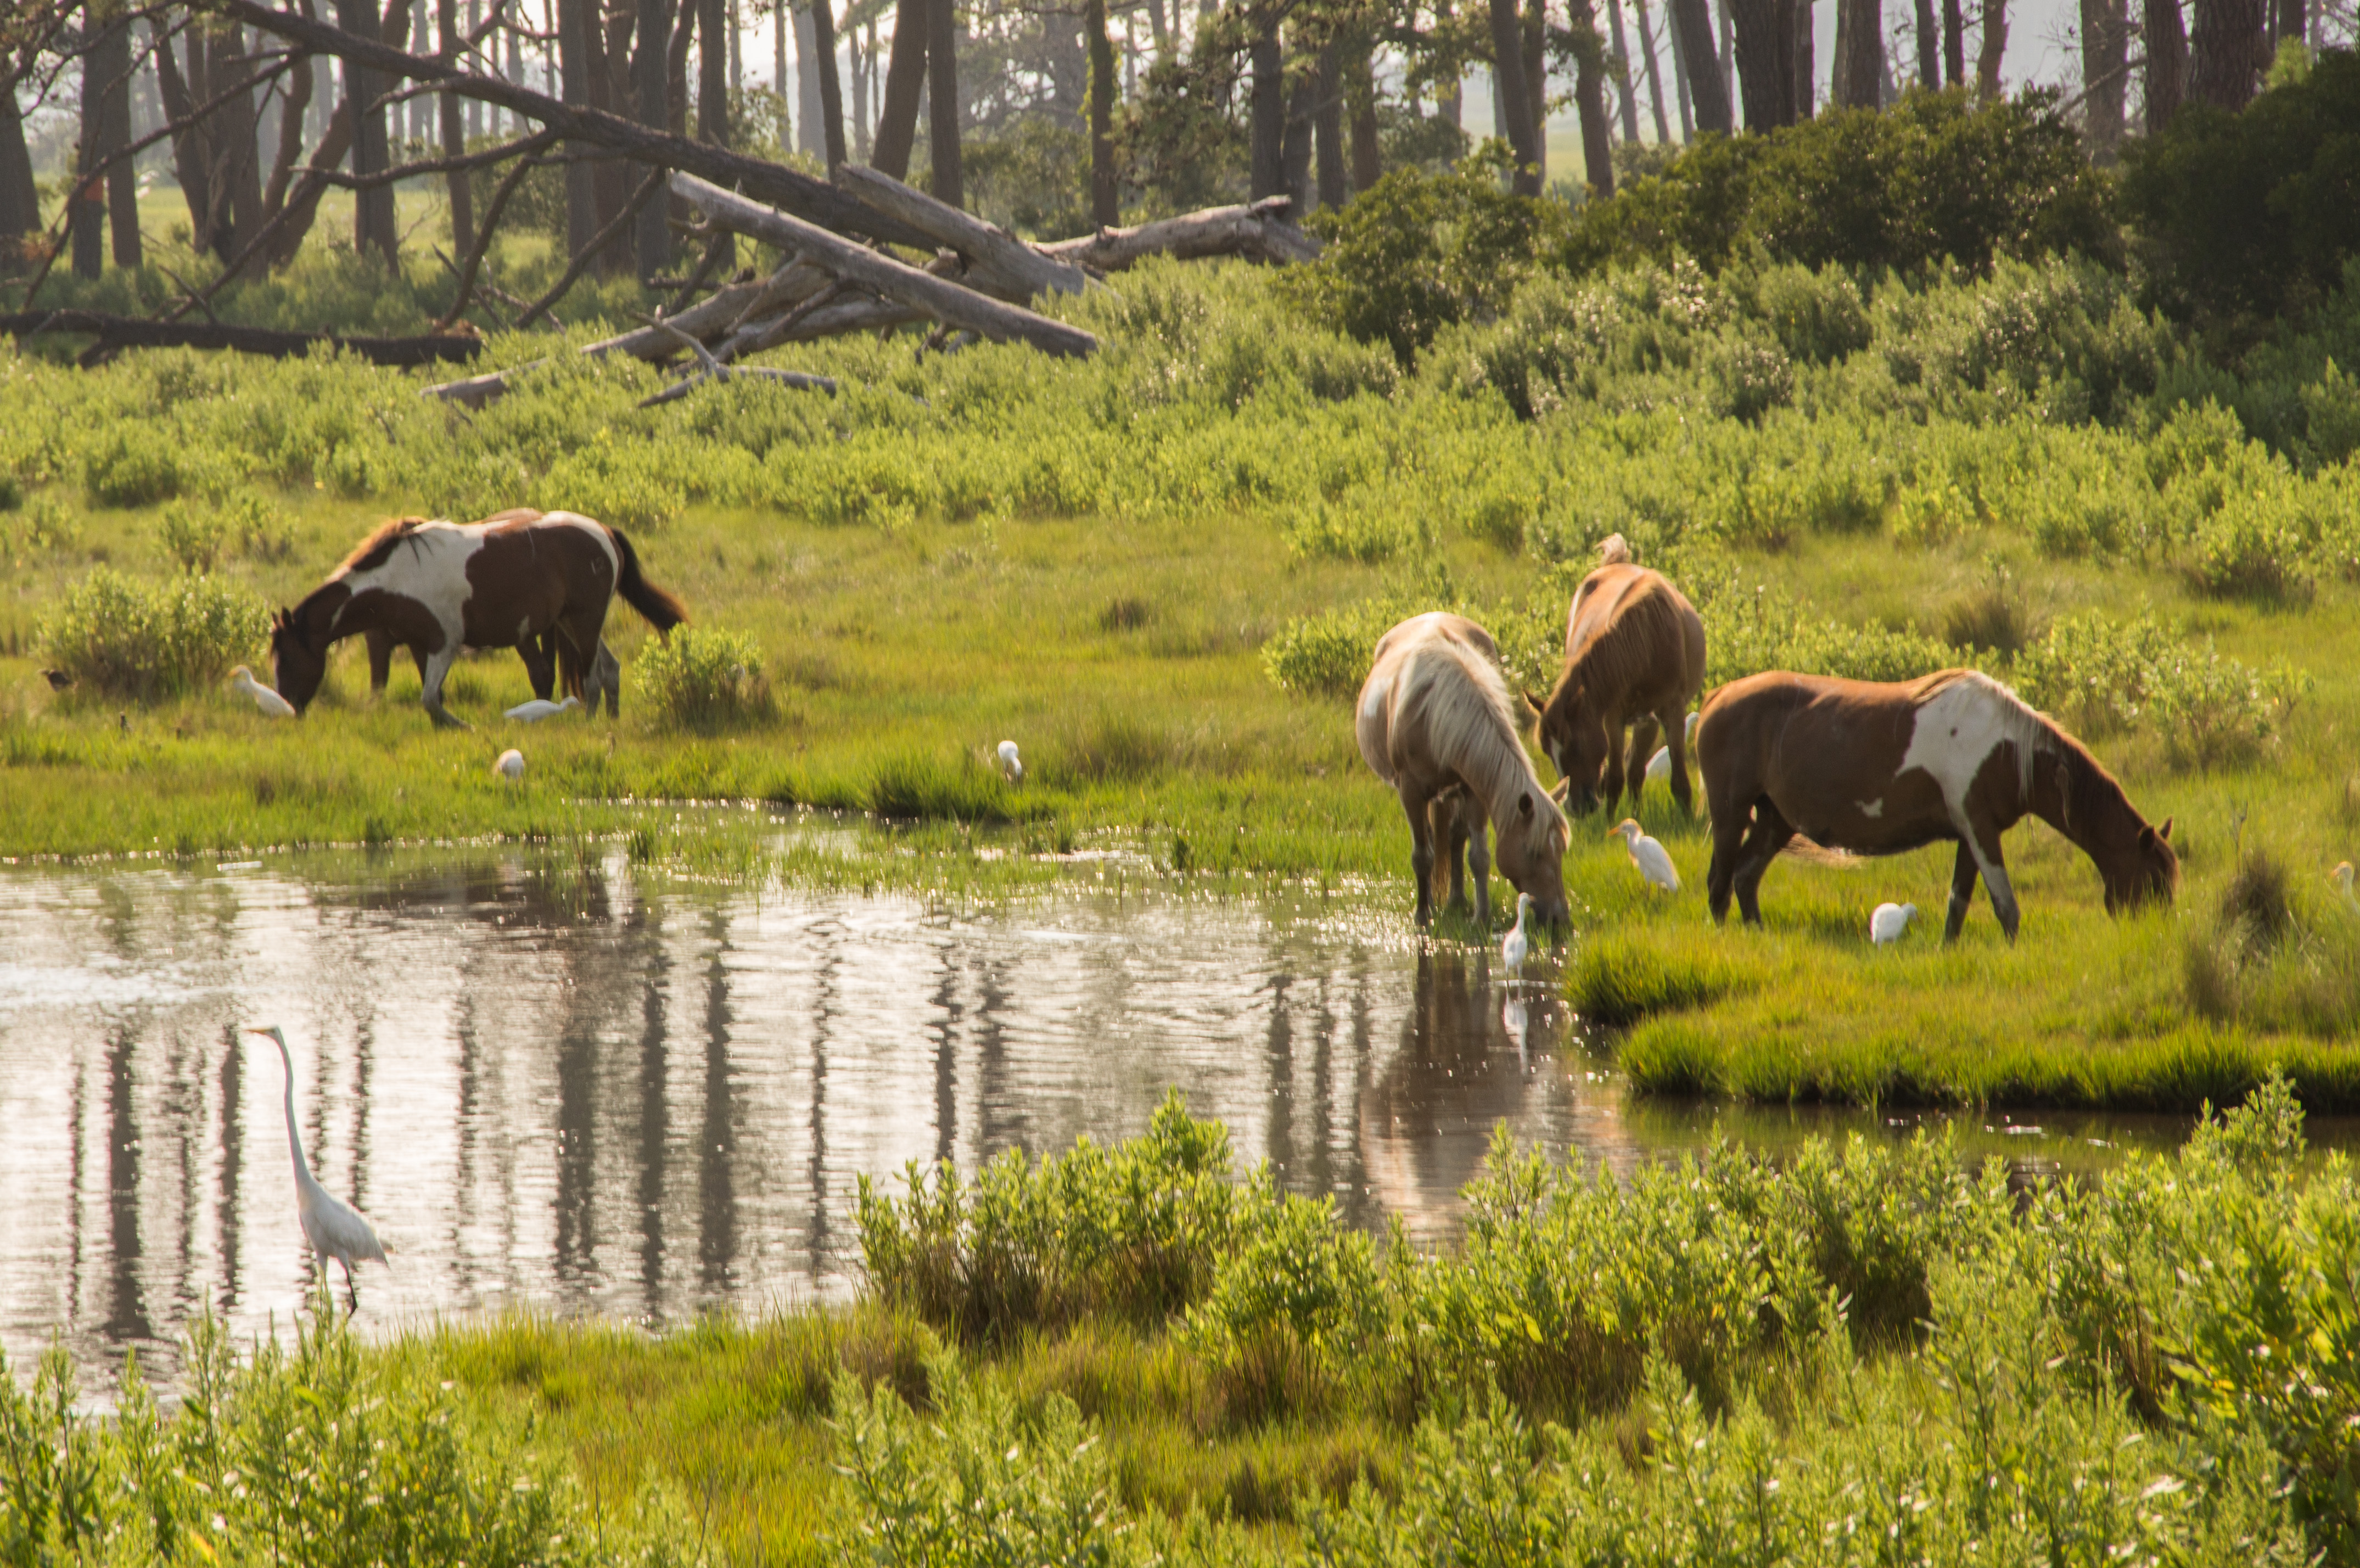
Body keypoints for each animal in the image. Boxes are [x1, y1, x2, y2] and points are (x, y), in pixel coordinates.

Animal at [277, 507, 689, 726]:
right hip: (573, 623)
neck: (400, 575)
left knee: (591, 680)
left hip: (584, 623)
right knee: (610, 669)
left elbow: (430, 698)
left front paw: (462, 726)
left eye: (286, 660)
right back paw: (612, 720)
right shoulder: (418, 644)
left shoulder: (445, 643)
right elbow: (432, 697)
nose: (287, 707)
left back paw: (590, 723)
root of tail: (604, 531)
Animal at [1359, 613, 1576, 929]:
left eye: (1560, 850)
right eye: (1533, 852)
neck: (1432, 712)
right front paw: (1422, 917)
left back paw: (1457, 899)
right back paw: (1432, 904)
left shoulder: (1474, 788)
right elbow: (1422, 856)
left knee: (1454, 838)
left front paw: (1481, 916)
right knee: (1431, 841)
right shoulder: (1410, 791)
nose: (1560, 918)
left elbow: (1479, 857)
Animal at [1520, 559, 1708, 811]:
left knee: (1636, 772)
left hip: (1647, 722)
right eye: (1546, 750)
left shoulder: (1672, 713)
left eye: (1575, 746)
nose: (1574, 806)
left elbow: (1679, 784)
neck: (1649, 639)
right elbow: (1615, 782)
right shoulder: (1614, 718)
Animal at [1699, 665, 2171, 934]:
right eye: (2153, 880)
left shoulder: (1970, 834)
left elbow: (1957, 907)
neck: (2005, 747)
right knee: (1719, 884)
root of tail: (1716, 696)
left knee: (1744, 876)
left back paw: (1757, 932)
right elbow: (2006, 907)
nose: (2153, 932)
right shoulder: (1981, 832)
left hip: (1775, 819)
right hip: (1730, 814)